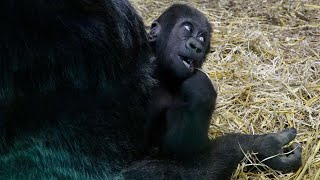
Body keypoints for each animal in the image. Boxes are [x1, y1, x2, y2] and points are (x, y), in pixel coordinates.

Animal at [0, 0, 302, 179]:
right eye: (187, 28)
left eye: (202, 37)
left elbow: (179, 148)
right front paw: (260, 147)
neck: (160, 72)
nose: (196, 46)